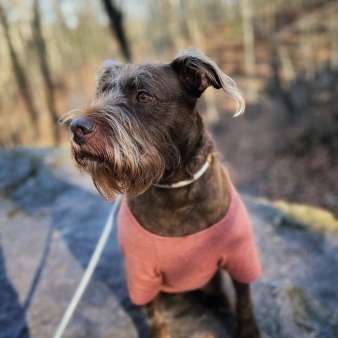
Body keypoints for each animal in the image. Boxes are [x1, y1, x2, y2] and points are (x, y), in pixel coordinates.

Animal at [61, 48, 262, 338]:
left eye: (143, 96)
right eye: (101, 93)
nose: (77, 127)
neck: (174, 189)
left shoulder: (240, 256)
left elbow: (244, 299)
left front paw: (246, 329)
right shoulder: (142, 272)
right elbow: (154, 313)